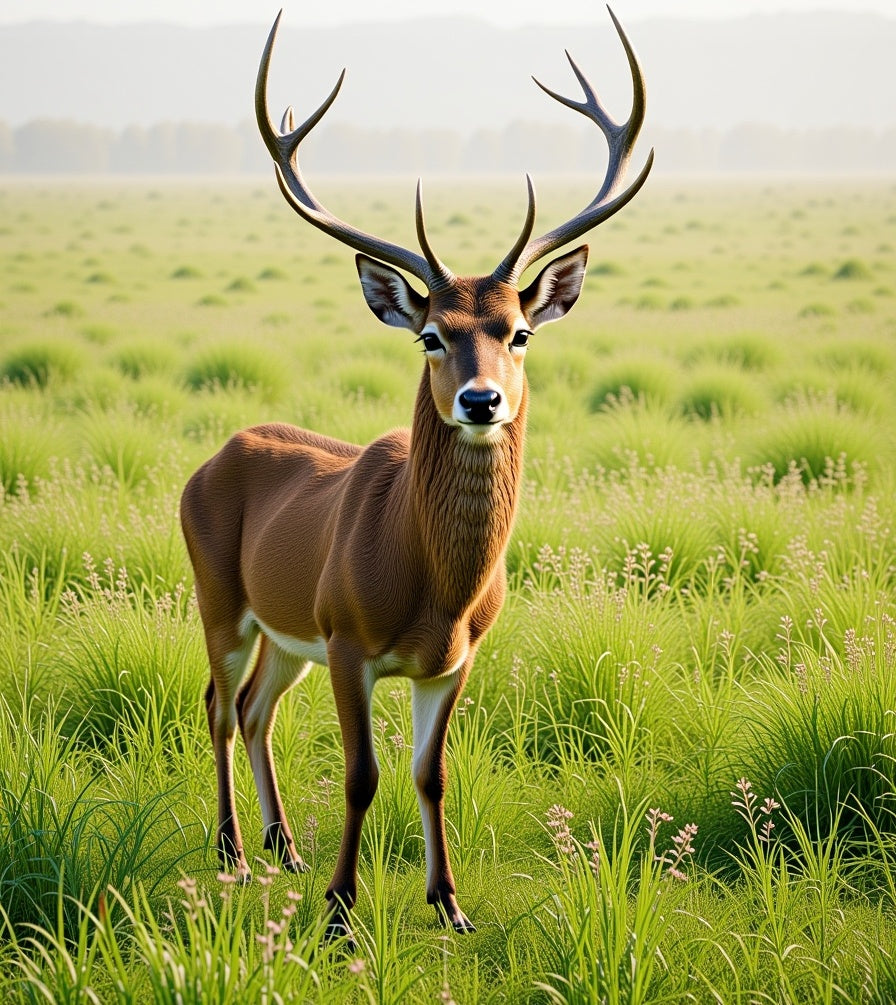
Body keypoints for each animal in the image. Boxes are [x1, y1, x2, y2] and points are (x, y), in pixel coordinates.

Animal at [180, 6, 652, 945]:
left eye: (518, 331)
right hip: (223, 598)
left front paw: (450, 902)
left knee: (254, 708)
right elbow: (361, 774)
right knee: (216, 704)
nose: (480, 398)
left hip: (287, 633)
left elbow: (430, 773)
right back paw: (236, 853)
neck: (432, 582)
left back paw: (283, 847)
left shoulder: (452, 659)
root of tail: (211, 461)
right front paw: (339, 912)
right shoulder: (348, 640)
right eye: (431, 333)